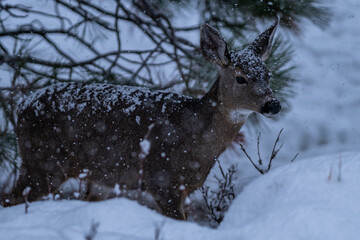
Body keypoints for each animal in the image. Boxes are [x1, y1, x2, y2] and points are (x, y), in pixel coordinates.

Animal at [0, 20, 282, 219]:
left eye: (268, 74)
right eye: (240, 77)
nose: (273, 104)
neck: (193, 134)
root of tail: (22, 106)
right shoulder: (161, 179)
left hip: (97, 174)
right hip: (43, 161)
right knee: (9, 199)